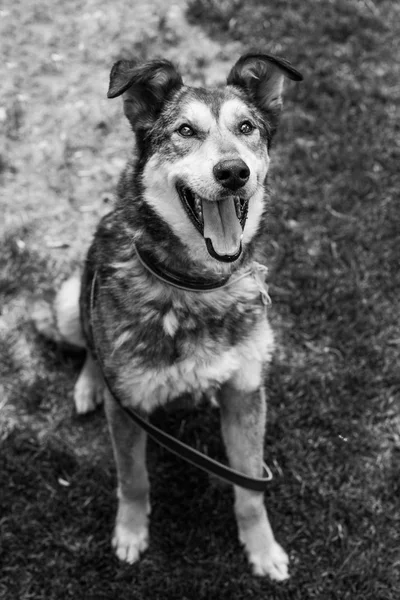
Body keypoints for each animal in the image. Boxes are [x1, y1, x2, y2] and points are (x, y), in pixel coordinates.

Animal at [33, 54, 304, 580]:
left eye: (247, 128)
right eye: (185, 130)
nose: (233, 171)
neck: (195, 287)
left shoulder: (246, 392)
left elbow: (249, 489)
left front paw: (262, 550)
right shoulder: (129, 406)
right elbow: (134, 478)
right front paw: (130, 533)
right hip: (71, 297)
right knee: (89, 346)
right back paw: (89, 384)